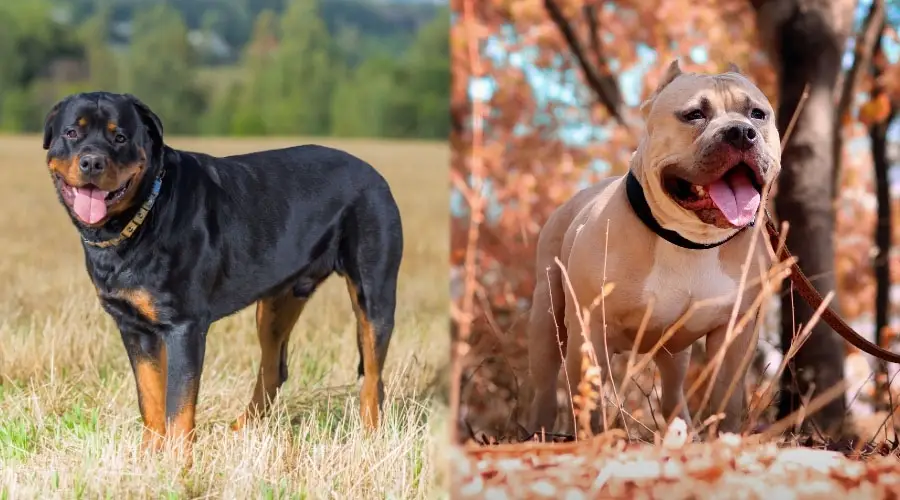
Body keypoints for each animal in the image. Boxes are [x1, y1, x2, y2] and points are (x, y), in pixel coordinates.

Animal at [44, 93, 402, 454]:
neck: (141, 217)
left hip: (373, 294)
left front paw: (178, 460)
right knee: (273, 369)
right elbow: (150, 397)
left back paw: (370, 440)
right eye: (72, 133)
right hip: (276, 302)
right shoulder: (133, 327)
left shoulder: (184, 326)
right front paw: (149, 455)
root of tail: (376, 175)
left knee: (372, 377)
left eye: (120, 137)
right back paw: (240, 432)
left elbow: (179, 406)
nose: (92, 162)